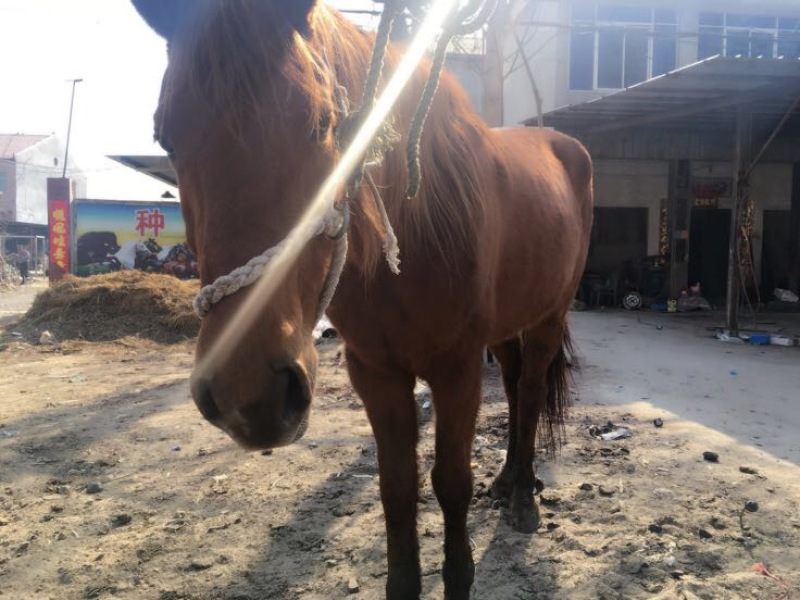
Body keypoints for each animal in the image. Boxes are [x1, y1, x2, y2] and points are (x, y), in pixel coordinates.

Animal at [132, 2, 593, 598]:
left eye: (324, 123)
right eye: (167, 136)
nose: (247, 395)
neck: (415, 235)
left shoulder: (457, 367)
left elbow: (451, 482)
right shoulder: (375, 371)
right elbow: (396, 488)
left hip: (547, 319)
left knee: (532, 392)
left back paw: (522, 499)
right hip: (507, 326)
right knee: (514, 387)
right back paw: (509, 477)